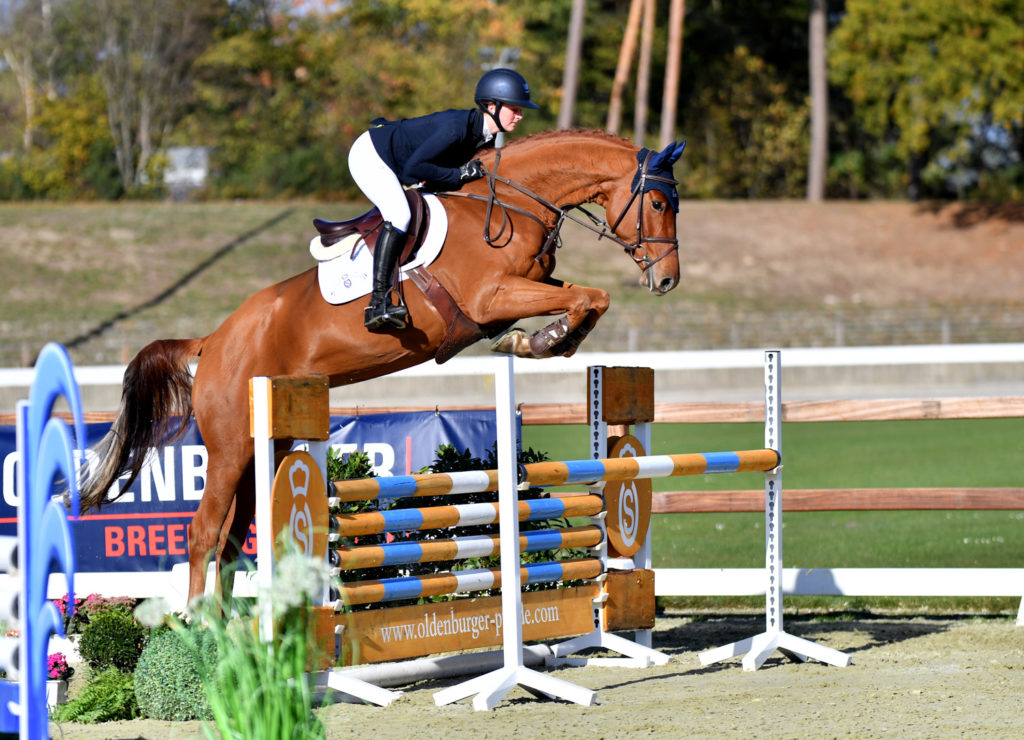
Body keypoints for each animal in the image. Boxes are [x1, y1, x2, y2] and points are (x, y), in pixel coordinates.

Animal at [79, 130, 684, 605]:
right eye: (658, 203)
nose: (667, 280)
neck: (510, 202)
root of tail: (213, 341)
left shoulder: (527, 287)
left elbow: (589, 296)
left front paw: (548, 339)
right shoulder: (492, 296)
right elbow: (590, 295)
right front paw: (542, 340)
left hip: (262, 446)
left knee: (231, 539)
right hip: (228, 449)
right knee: (204, 533)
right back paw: (201, 632)